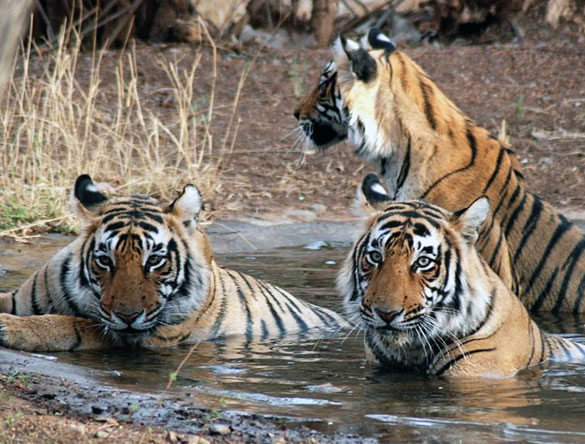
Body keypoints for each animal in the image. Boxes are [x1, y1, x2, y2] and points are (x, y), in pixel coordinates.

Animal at [0, 173, 346, 350]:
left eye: (154, 260)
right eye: (105, 260)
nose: (128, 316)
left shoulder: (146, 335)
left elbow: (73, 324)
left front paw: (11, 327)